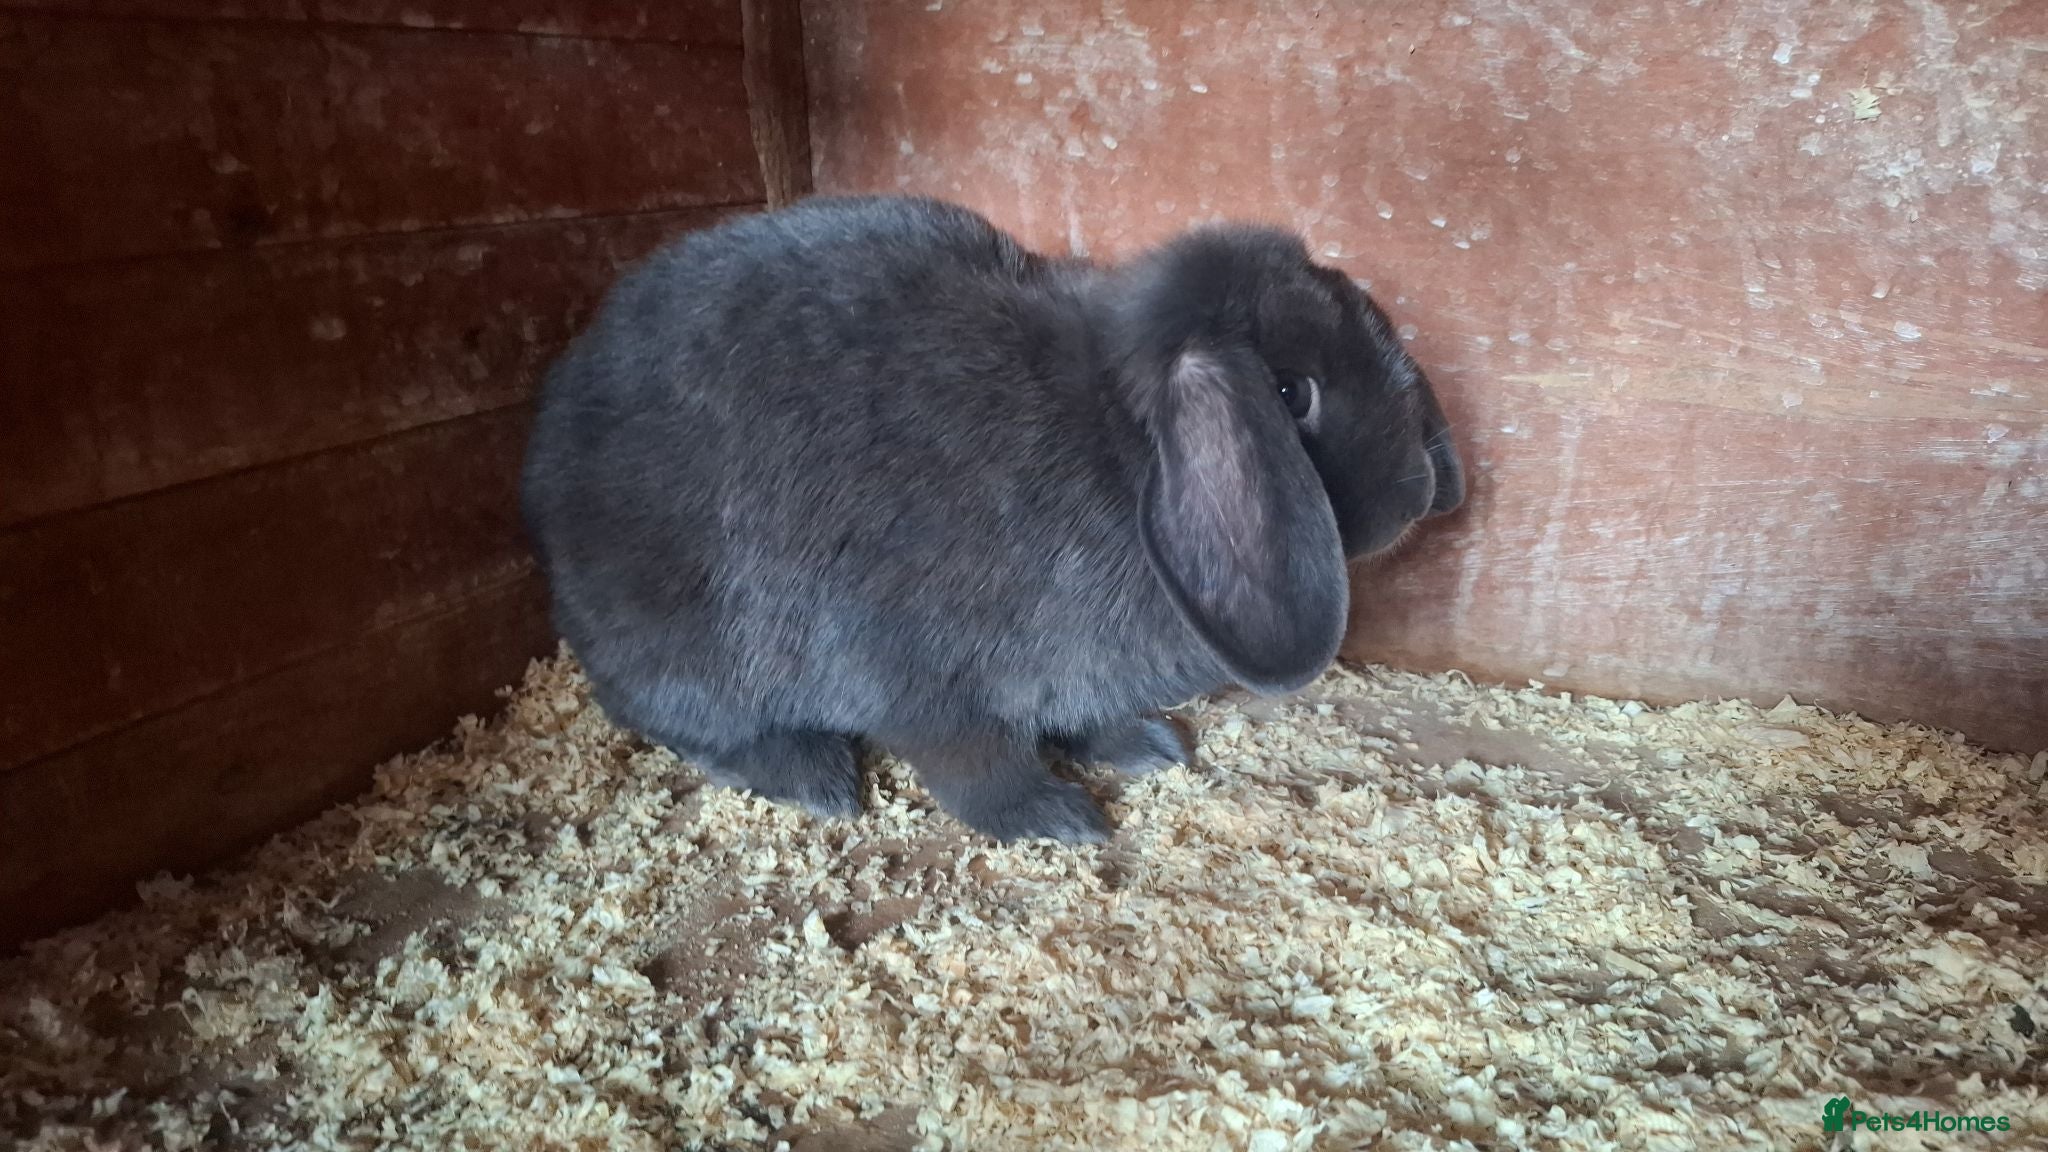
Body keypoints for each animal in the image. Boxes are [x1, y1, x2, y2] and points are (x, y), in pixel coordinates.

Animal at [520, 195, 1464, 844]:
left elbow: (1083, 717)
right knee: (678, 723)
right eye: (1290, 393)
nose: (1421, 488)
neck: (1114, 443)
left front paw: (1144, 747)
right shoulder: (921, 682)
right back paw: (811, 777)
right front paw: (1058, 818)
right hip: (681, 648)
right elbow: (975, 767)